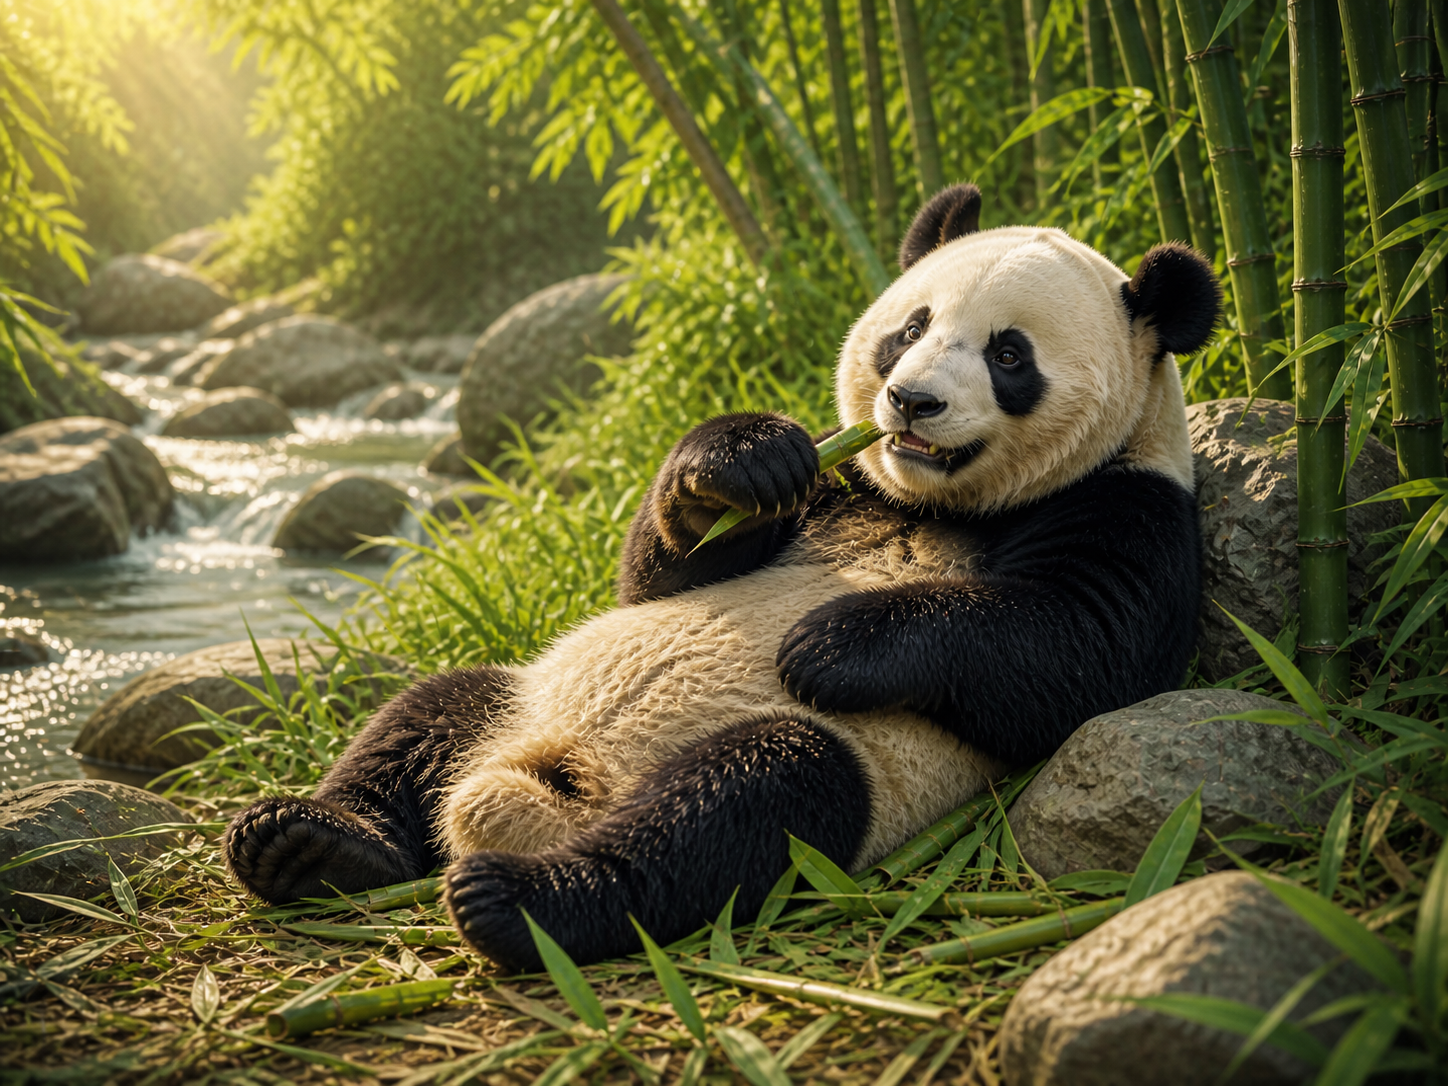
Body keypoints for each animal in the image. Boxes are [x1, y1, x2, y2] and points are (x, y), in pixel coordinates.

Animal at [223, 184, 1214, 972]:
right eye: (911, 329)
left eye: (1010, 355)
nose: (911, 402)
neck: (931, 506)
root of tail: (538, 791)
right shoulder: (839, 481)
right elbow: (656, 579)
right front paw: (740, 462)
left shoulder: (1131, 502)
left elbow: (1077, 649)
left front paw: (832, 643)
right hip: (526, 693)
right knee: (428, 711)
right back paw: (307, 843)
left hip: (844, 771)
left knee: (743, 802)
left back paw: (520, 901)